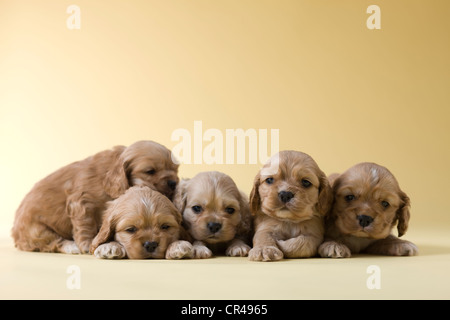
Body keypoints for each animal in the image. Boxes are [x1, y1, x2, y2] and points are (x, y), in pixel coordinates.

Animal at [11, 140, 179, 255]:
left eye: (175, 169)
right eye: (150, 171)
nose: (174, 182)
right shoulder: (81, 202)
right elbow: (85, 225)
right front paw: (87, 244)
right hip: (37, 230)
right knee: (51, 242)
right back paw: (71, 246)